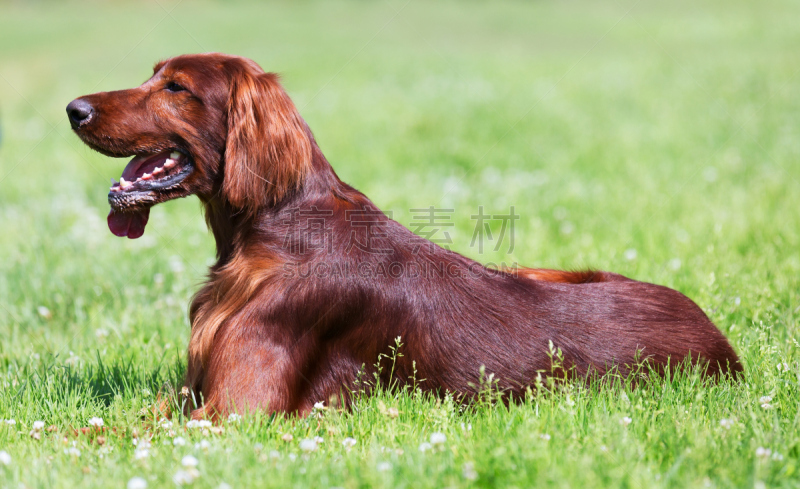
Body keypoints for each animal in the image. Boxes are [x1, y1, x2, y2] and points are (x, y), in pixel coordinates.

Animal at [69, 54, 744, 420]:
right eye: (153, 76)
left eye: (176, 88)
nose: (74, 109)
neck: (274, 232)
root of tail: (723, 345)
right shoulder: (190, 396)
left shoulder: (239, 412)